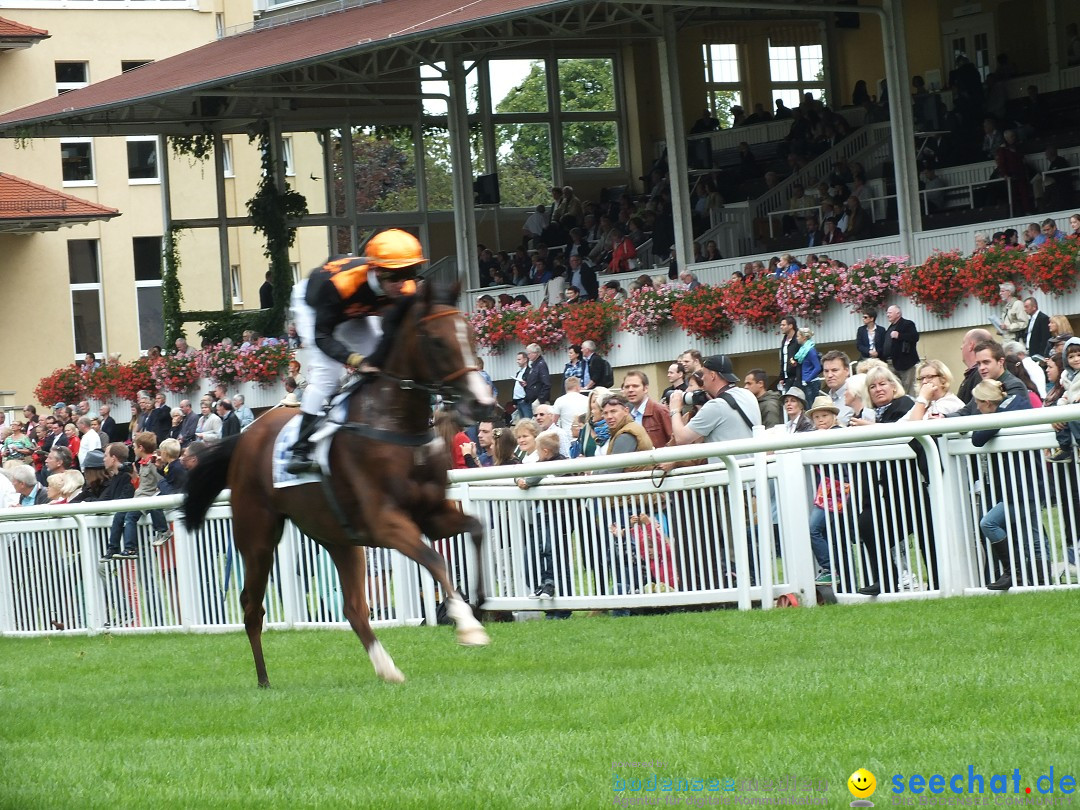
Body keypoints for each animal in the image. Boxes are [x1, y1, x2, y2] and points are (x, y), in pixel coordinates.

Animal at [182, 282, 496, 686]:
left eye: (470, 335)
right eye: (438, 342)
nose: (483, 404)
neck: (394, 424)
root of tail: (245, 438)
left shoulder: (432, 514)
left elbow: (476, 528)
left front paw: (480, 600)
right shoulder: (387, 523)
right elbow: (434, 559)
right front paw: (468, 625)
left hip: (338, 537)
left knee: (354, 607)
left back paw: (387, 669)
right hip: (257, 535)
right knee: (252, 605)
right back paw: (264, 680)